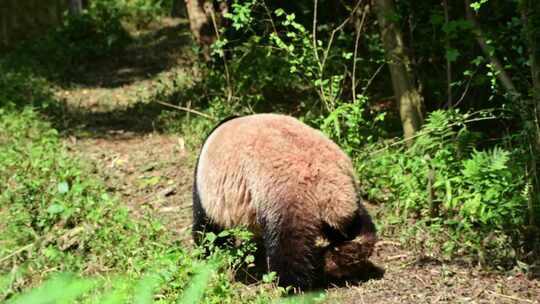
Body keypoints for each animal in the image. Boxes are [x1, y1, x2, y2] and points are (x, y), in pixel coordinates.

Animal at [193, 113, 376, 288]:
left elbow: (209, 230)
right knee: (359, 227)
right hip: (350, 192)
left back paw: (290, 286)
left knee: (289, 248)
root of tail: (327, 183)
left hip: (286, 197)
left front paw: (207, 257)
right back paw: (344, 260)